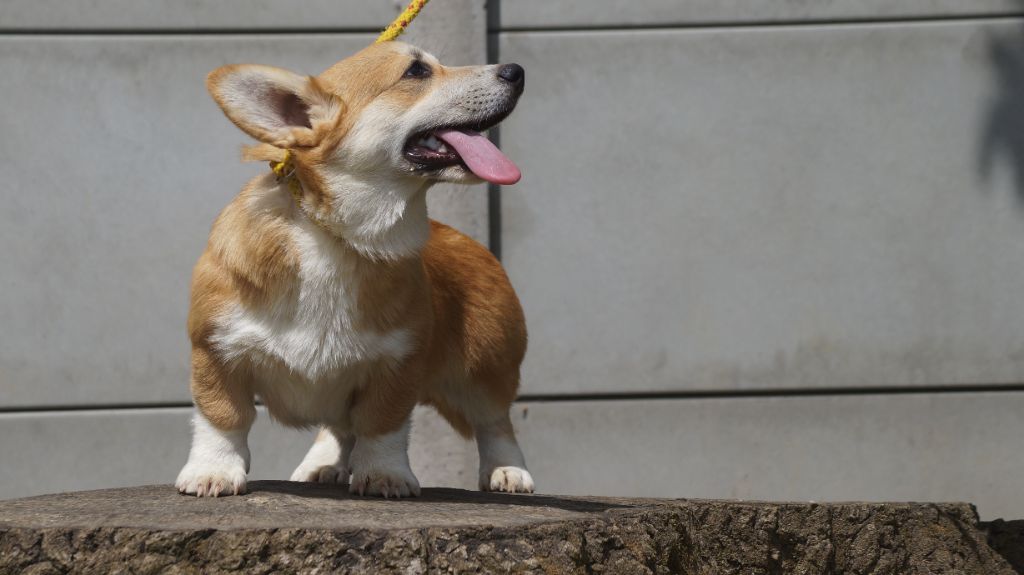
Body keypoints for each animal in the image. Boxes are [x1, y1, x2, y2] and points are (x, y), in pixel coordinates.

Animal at [173, 41, 532, 497]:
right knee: (338, 428)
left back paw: (508, 471)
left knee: (495, 422)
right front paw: (212, 471)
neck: (339, 236)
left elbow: (382, 426)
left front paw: (384, 475)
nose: (516, 71)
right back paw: (322, 463)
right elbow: (222, 418)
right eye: (416, 71)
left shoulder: (396, 362)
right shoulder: (216, 351)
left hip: (484, 368)